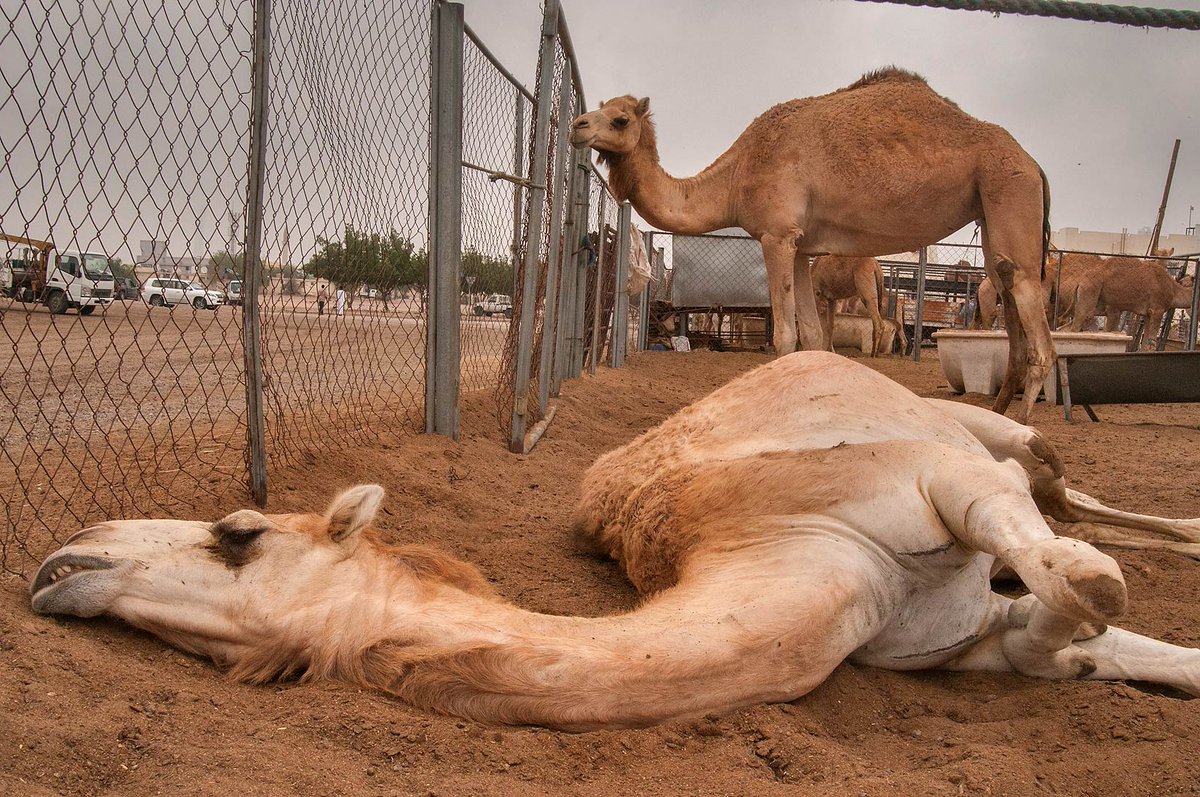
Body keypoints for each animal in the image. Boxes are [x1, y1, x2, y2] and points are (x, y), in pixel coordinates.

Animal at [31, 353, 1200, 730]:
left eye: (237, 530)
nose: (64, 555)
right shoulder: (964, 637)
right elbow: (1101, 640)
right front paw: (1081, 654)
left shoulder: (943, 479)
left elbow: (1084, 578)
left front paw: (1083, 611)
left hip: (990, 428)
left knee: (1067, 485)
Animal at [571, 67, 1057, 422]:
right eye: (601, 108)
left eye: (620, 118)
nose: (578, 125)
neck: (735, 177)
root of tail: (1034, 163)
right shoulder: (803, 247)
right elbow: (816, 337)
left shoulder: (777, 235)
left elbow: (786, 336)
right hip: (990, 212)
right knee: (1005, 283)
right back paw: (997, 412)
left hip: (1010, 190)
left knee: (1034, 314)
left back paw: (1022, 428)